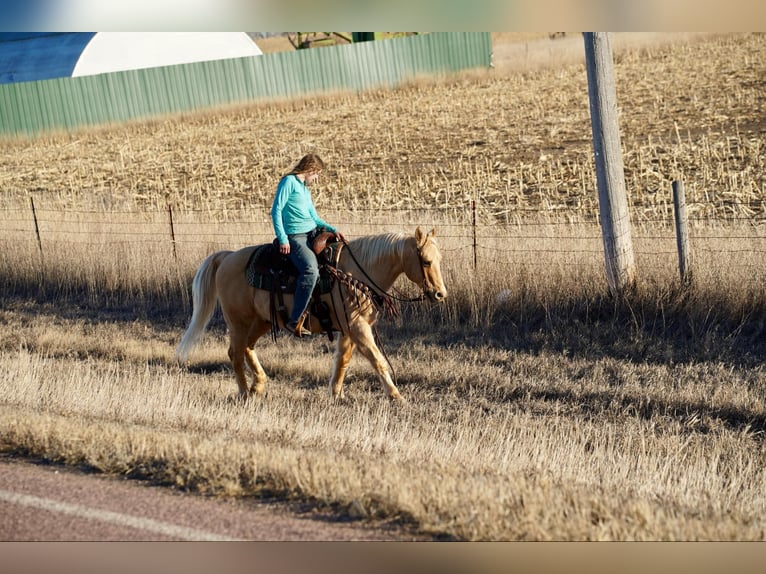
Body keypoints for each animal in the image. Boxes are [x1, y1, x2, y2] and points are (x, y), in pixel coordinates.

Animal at [176, 227, 448, 402]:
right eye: (425, 261)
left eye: (439, 259)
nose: (439, 294)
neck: (355, 274)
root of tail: (227, 257)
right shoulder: (358, 328)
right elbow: (377, 359)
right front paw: (396, 396)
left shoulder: (350, 330)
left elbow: (342, 361)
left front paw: (336, 394)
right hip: (238, 321)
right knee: (235, 352)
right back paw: (244, 393)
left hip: (261, 321)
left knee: (247, 348)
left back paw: (258, 385)